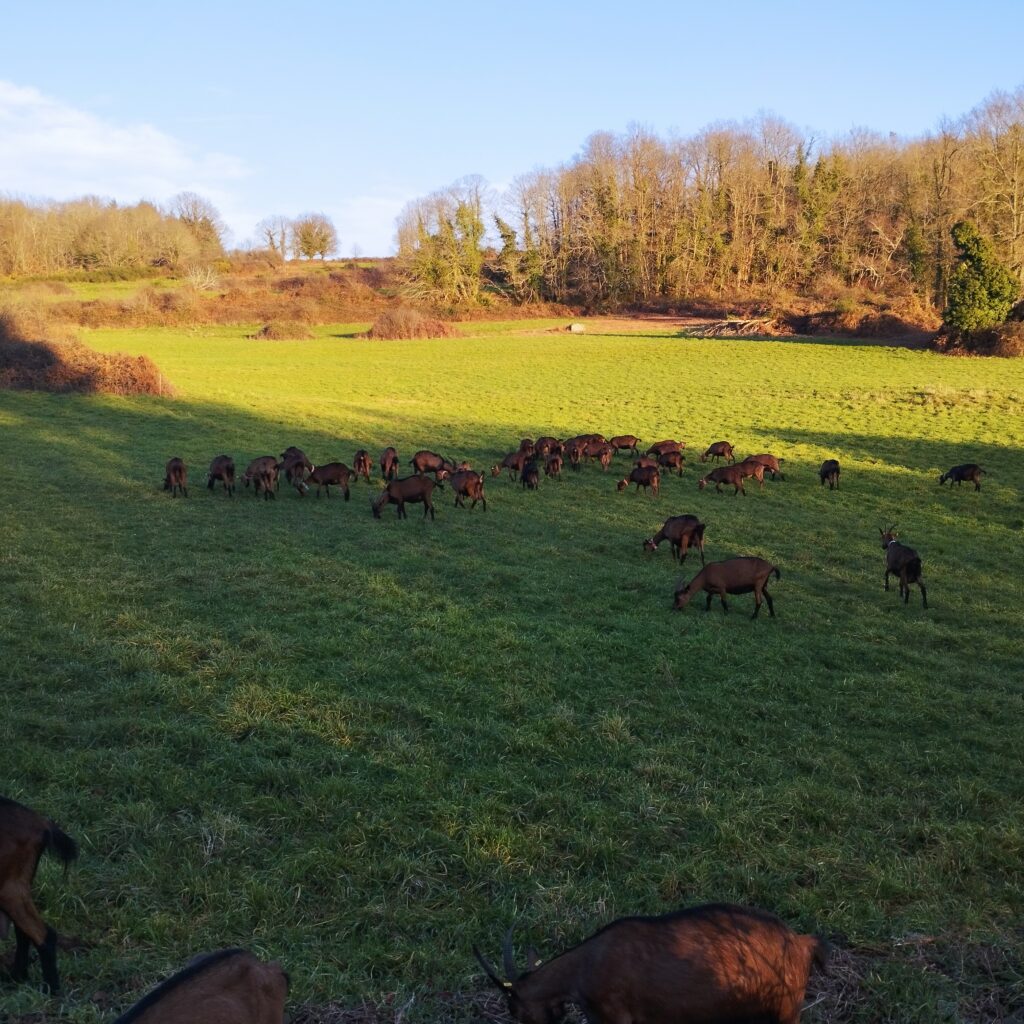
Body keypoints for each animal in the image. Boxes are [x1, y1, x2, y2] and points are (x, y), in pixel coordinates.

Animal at [0, 794, 77, 995]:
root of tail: (41, 823)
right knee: (23, 932)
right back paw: (17, 977)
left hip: (8, 888)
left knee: (44, 935)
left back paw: (51, 990)